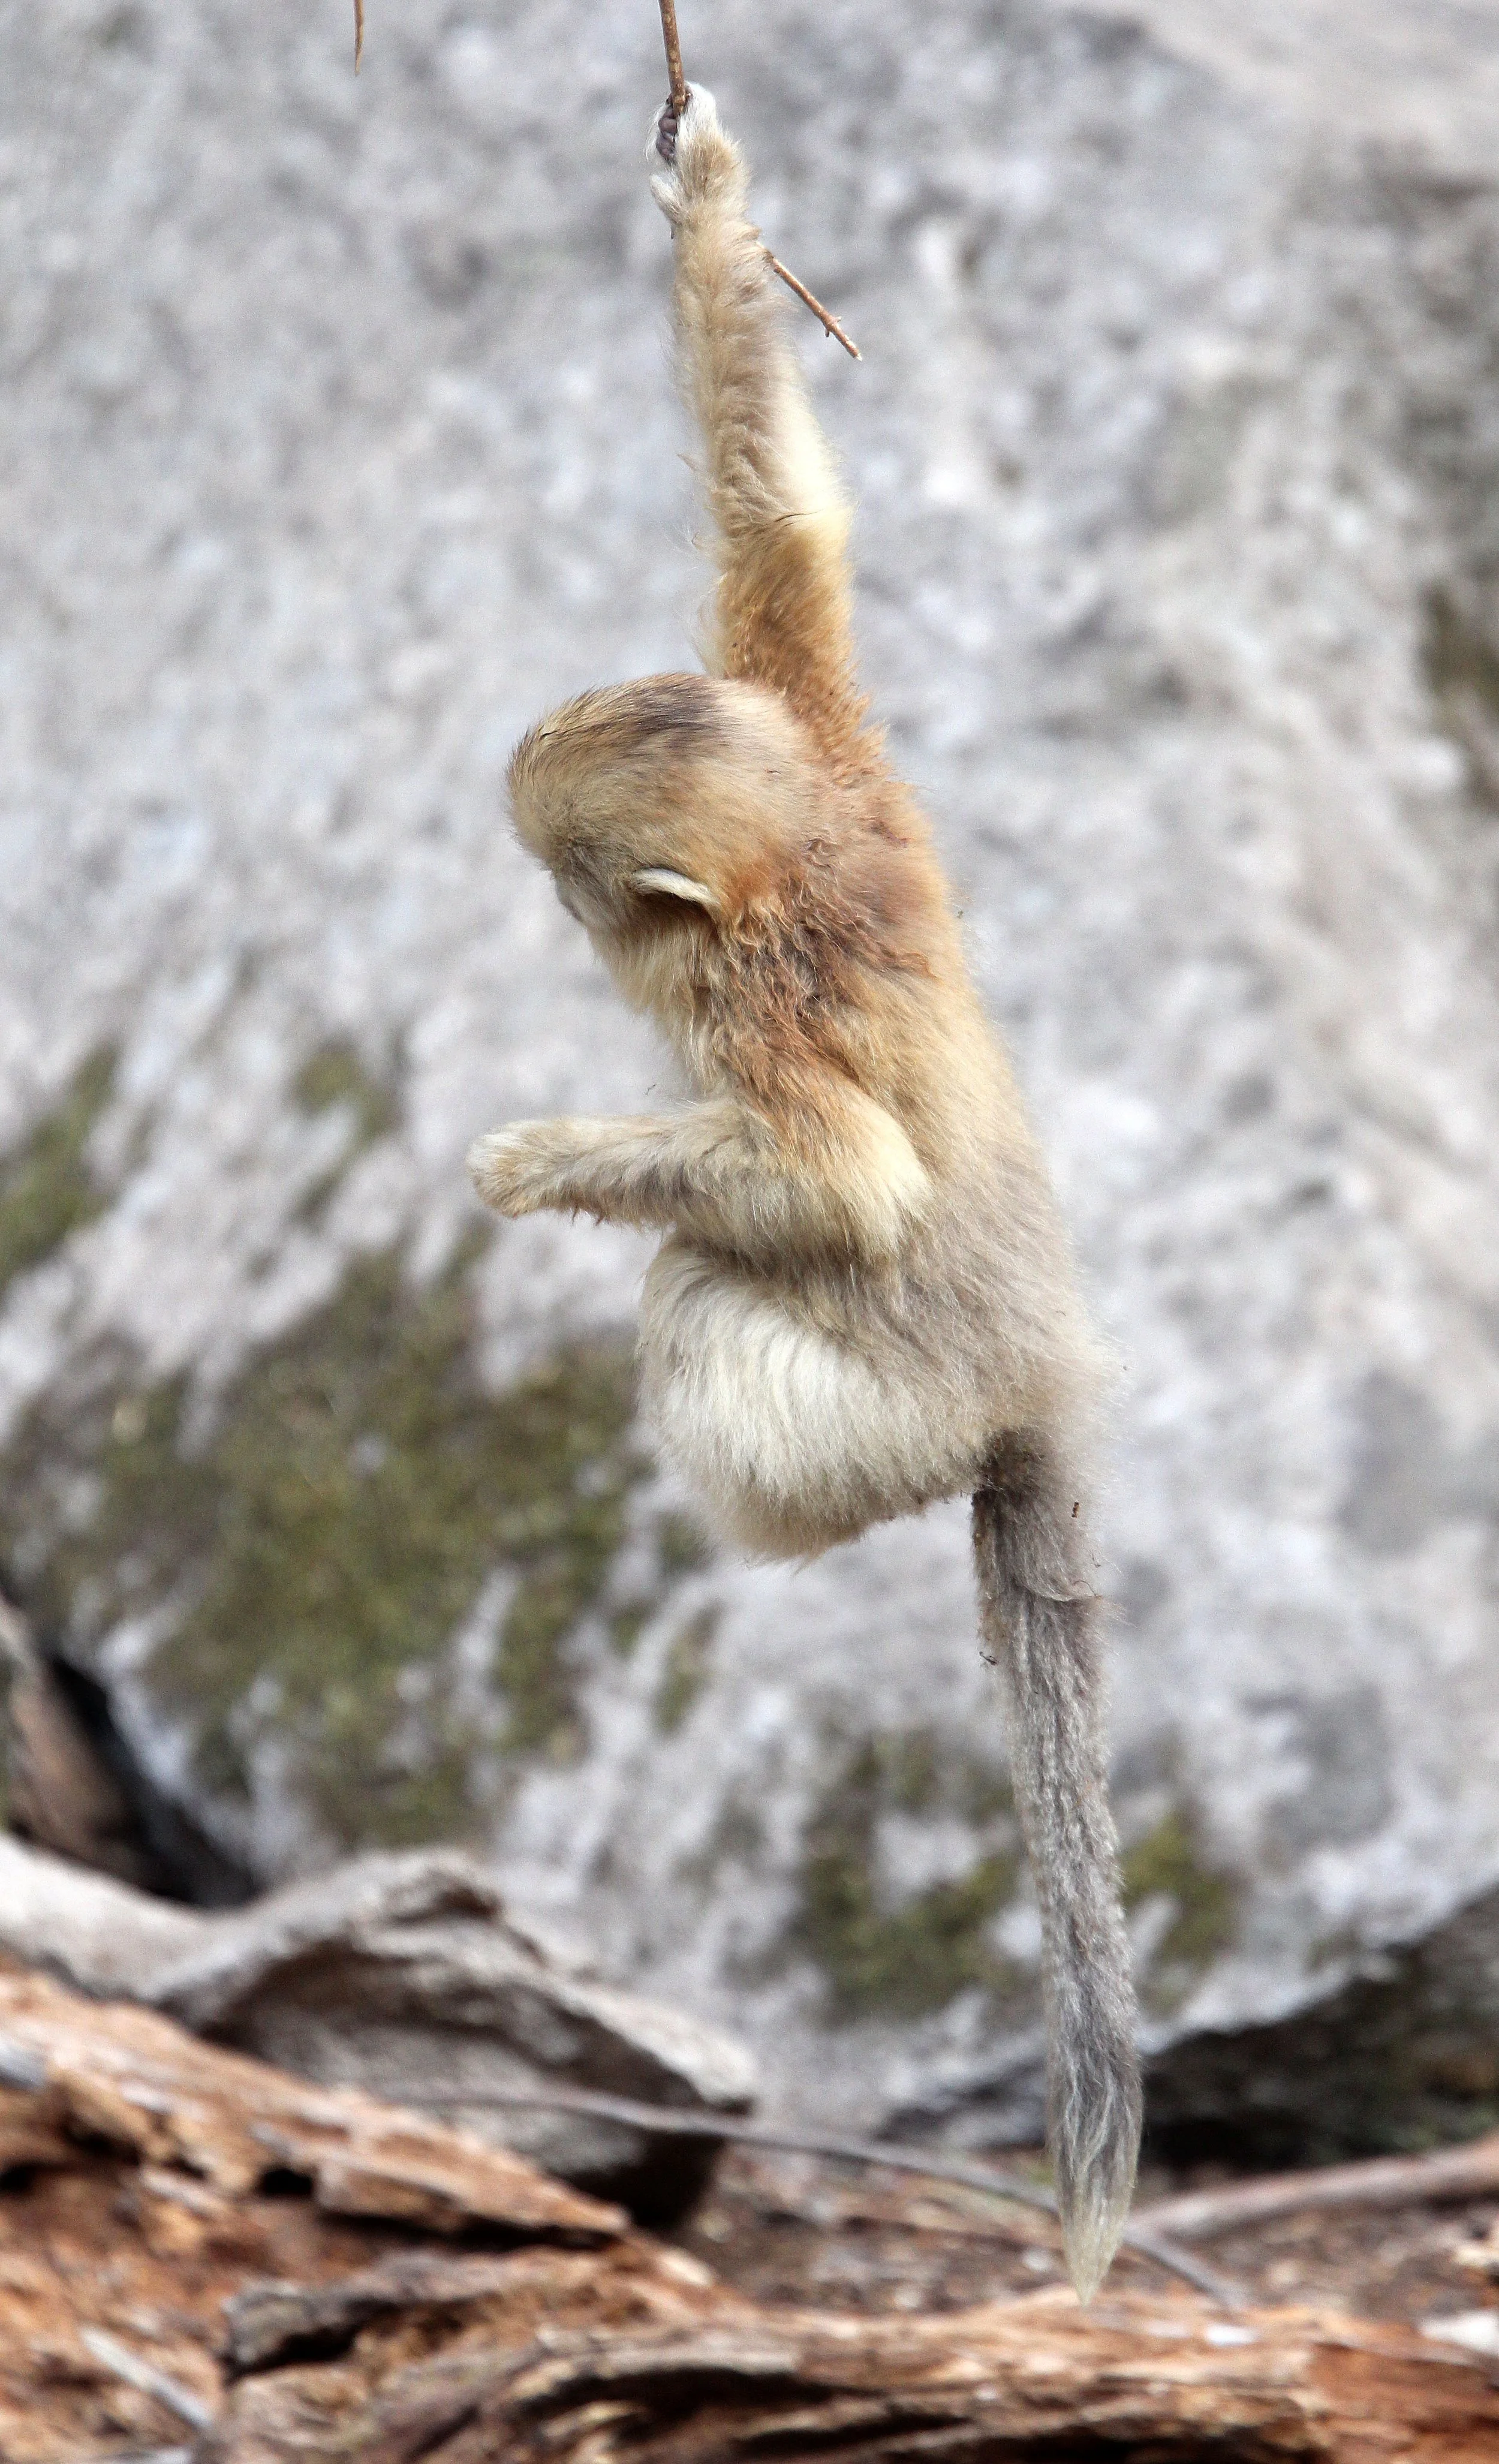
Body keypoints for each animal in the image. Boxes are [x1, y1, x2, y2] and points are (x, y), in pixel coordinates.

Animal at [469, 84, 1141, 2300]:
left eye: (566, 883)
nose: (542, 905)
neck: (785, 864)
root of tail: (1038, 1374)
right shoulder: (823, 719)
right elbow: (784, 530)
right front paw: (707, 196)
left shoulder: (755, 1005)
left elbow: (835, 1179)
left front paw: (536, 1160)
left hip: (875, 1414)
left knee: (701, 1291)